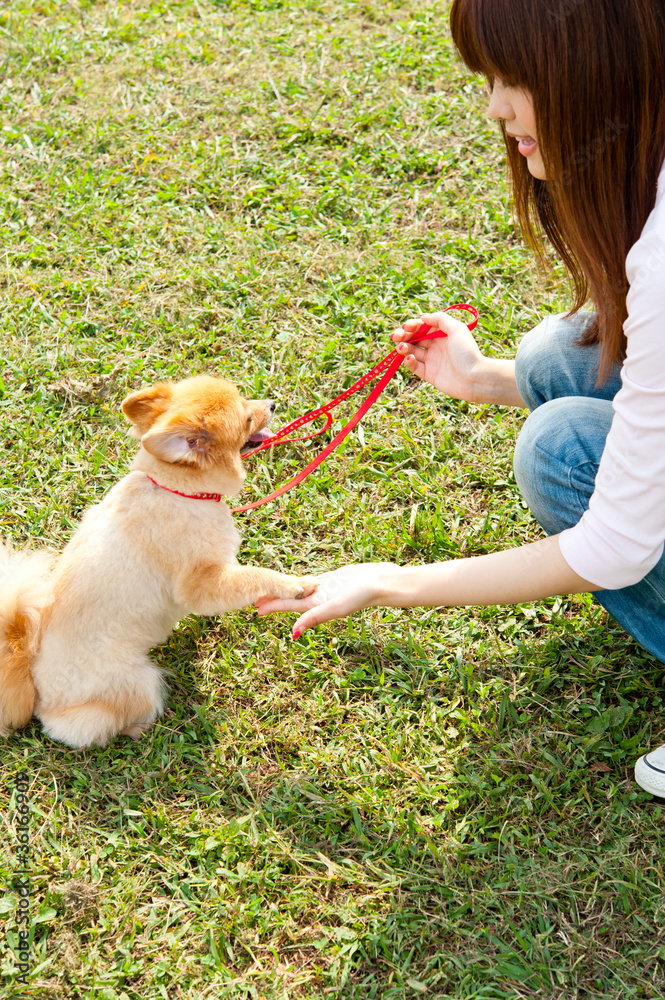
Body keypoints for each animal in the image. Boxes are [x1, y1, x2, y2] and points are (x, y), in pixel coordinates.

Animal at [0, 376, 316, 752]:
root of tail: (36, 693)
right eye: (247, 418)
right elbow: (253, 576)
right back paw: (140, 730)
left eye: (246, 400)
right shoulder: (201, 581)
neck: (175, 489)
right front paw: (294, 585)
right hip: (139, 682)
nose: (271, 404)